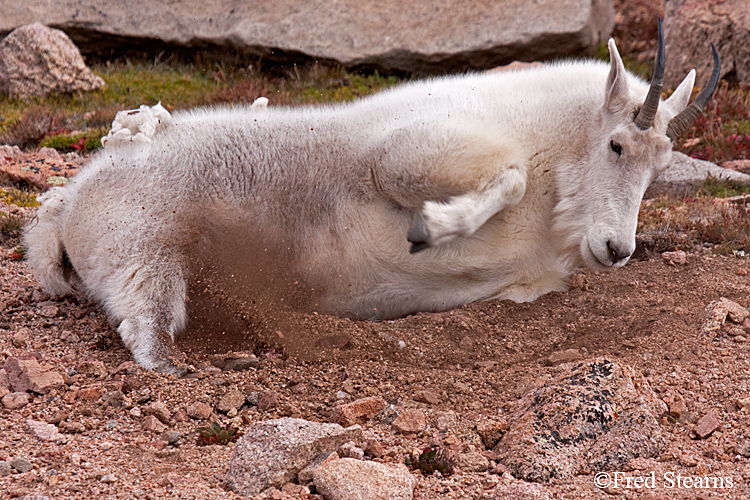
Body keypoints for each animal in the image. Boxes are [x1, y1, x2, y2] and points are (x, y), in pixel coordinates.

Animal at [23, 25, 724, 374]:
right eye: (616, 145)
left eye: (661, 164)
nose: (616, 248)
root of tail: (68, 208)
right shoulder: (403, 154)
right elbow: (507, 179)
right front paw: (430, 229)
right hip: (146, 245)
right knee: (144, 327)